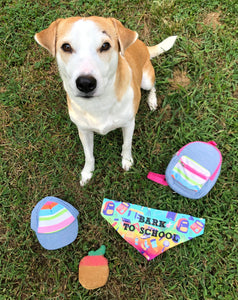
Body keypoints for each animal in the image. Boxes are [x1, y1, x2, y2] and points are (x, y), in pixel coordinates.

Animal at [35, 17, 177, 185]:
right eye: (66, 47)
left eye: (105, 45)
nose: (85, 83)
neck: (98, 104)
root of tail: (142, 45)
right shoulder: (83, 130)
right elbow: (88, 154)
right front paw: (87, 172)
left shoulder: (129, 124)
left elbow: (126, 144)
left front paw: (127, 161)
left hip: (146, 80)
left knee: (153, 86)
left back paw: (152, 100)